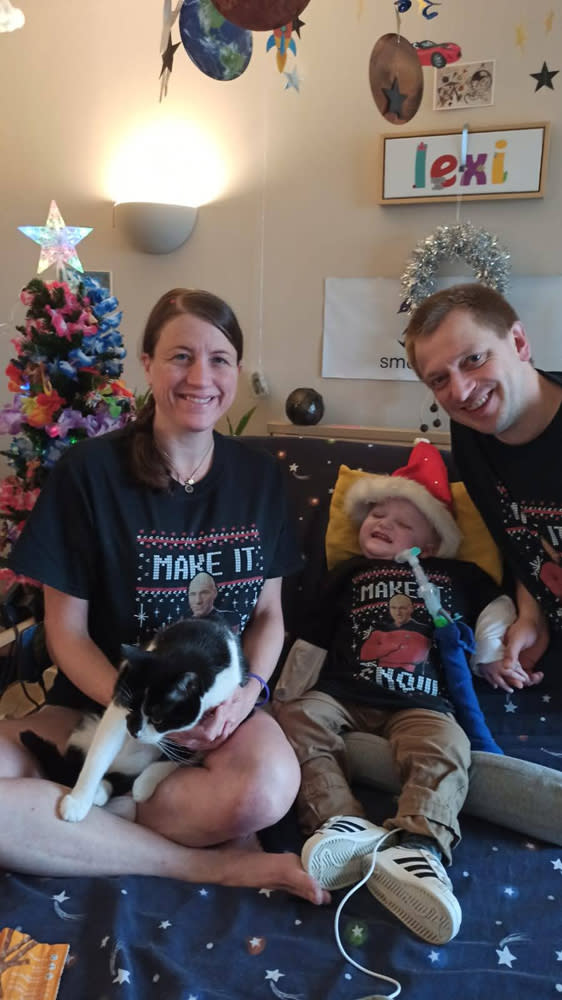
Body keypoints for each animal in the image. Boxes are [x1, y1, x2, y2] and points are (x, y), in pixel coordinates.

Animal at [20, 616, 247, 820]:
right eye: (130, 708)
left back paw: (106, 789)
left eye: (157, 719)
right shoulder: (120, 699)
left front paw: (144, 784)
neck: (196, 648)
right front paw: (79, 800)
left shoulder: (216, 716)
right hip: (84, 731)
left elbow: (179, 755)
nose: (133, 732)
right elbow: (99, 753)